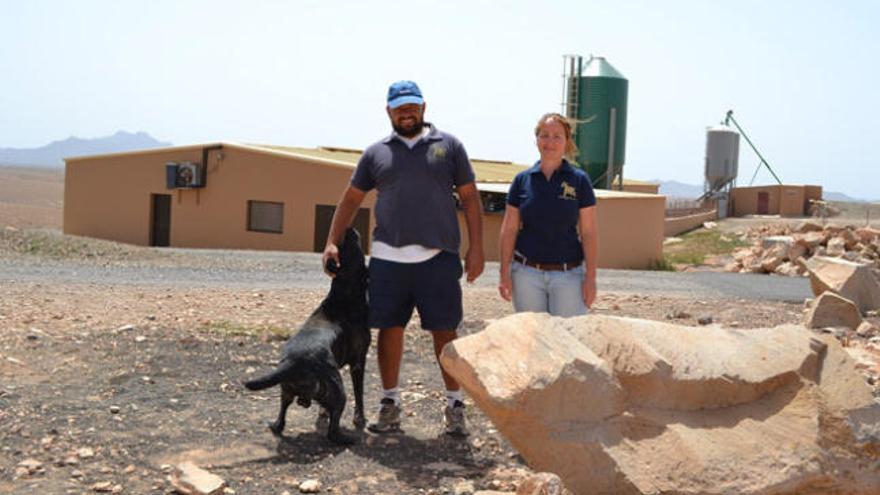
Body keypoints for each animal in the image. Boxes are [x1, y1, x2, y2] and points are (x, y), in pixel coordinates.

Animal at [246, 229, 370, 446]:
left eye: (342, 248)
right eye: (355, 249)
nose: (348, 230)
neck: (343, 292)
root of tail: (293, 362)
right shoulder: (358, 361)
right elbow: (359, 394)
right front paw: (360, 419)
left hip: (286, 391)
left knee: (282, 416)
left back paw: (276, 425)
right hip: (338, 391)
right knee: (332, 431)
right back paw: (347, 438)